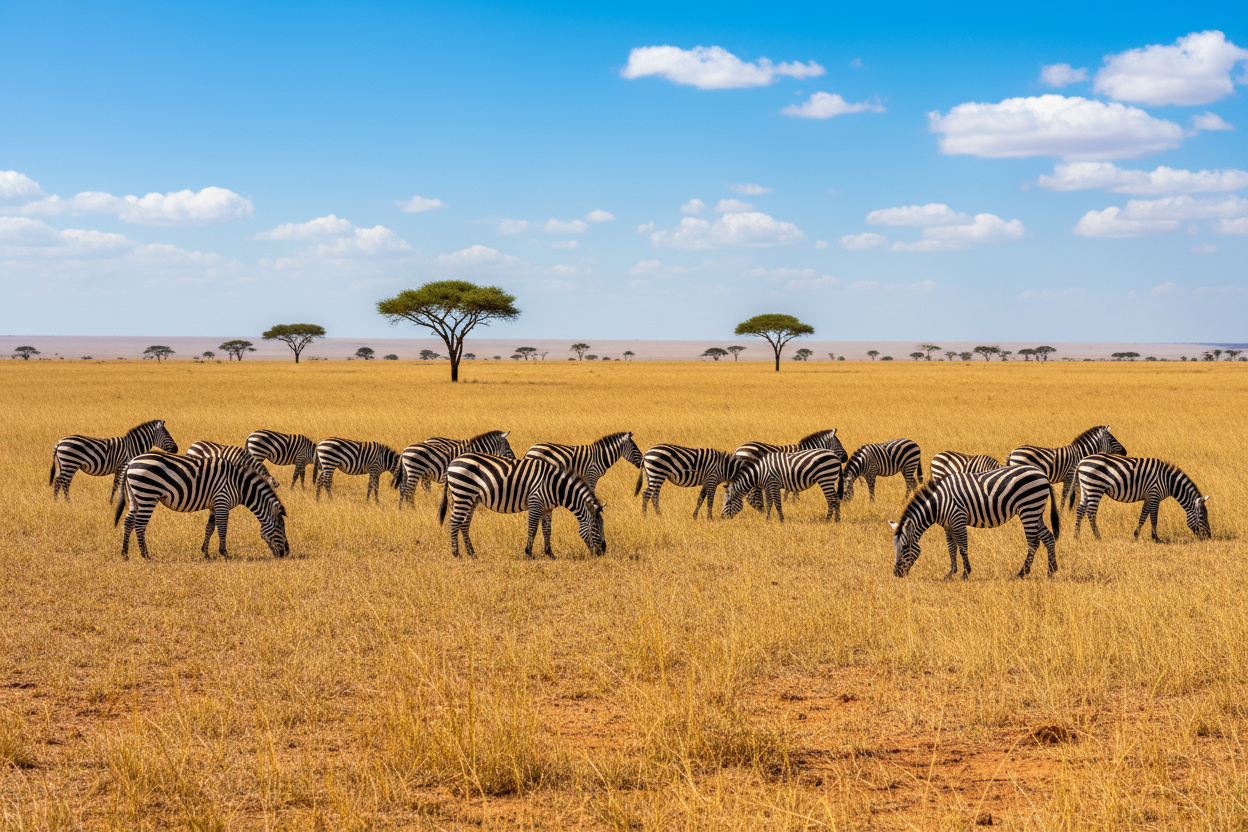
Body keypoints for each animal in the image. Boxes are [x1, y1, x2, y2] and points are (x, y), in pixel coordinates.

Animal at [50, 419, 178, 501]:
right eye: (167, 434)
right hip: (70, 463)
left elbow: (116, 484)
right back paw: (67, 502)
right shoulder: (123, 465)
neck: (132, 446)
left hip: (64, 464)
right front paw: (117, 502)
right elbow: (119, 484)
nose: (176, 449)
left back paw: (57, 502)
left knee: (58, 481)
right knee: (64, 482)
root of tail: (59, 442)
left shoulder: (119, 468)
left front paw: (112, 502)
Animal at [113, 452, 288, 560]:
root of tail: (131, 462)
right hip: (148, 495)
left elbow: (209, 528)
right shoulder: (222, 501)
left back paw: (124, 554)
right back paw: (145, 555)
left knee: (128, 521)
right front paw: (225, 554)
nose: (286, 553)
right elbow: (222, 528)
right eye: (280, 528)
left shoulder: (214, 505)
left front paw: (206, 553)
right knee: (140, 525)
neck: (239, 484)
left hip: (135, 497)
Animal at [438, 453, 605, 559]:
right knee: (455, 522)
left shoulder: (547, 509)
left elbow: (547, 530)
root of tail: (452, 462)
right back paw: (457, 554)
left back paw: (472, 553)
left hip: (471, 498)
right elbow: (532, 529)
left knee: (464, 524)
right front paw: (529, 553)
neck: (554, 485)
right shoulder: (535, 502)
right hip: (463, 493)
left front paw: (550, 554)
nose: (603, 552)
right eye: (595, 527)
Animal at [889, 465, 1060, 580]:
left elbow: (963, 547)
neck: (939, 503)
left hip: (1029, 508)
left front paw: (965, 573)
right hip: (1036, 511)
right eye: (895, 547)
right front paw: (951, 573)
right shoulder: (947, 526)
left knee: (1033, 542)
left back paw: (1022, 573)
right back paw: (1051, 571)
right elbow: (951, 548)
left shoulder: (958, 520)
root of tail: (1042, 474)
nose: (896, 574)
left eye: (905, 547)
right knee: (1048, 537)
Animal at [1075, 454, 1211, 542]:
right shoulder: (1155, 494)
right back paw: (1098, 537)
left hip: (1085, 488)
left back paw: (1076, 536)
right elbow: (1154, 518)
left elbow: (1143, 516)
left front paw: (1135, 536)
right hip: (1095, 486)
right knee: (1091, 512)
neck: (1169, 482)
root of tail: (1081, 462)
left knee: (1080, 510)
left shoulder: (1149, 497)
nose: (1209, 538)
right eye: (1203, 518)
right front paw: (1156, 539)